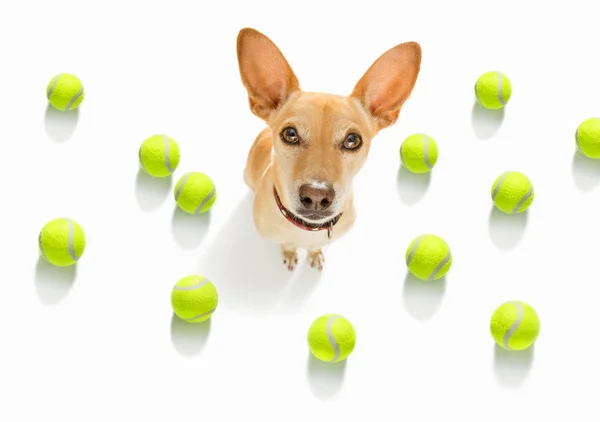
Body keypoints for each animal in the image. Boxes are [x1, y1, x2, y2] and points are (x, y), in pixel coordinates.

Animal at [236, 29, 422, 272]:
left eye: (352, 140)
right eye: (290, 134)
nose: (316, 195)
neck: (306, 230)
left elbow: (315, 247)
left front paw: (314, 254)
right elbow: (287, 243)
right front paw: (290, 252)